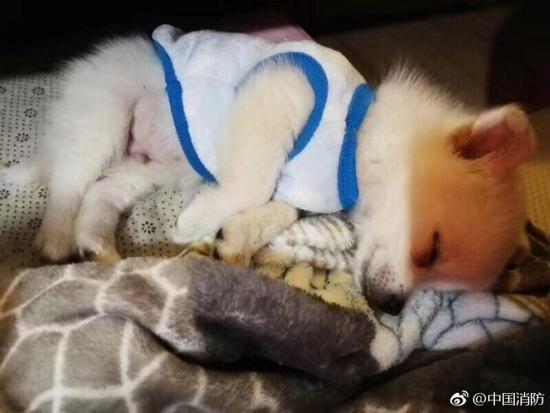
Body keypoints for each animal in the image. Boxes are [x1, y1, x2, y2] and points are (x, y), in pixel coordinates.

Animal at [2, 26, 536, 314]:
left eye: (441, 288)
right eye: (432, 248)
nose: (390, 308)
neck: (354, 144)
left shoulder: (300, 192)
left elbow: (277, 210)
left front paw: (232, 237)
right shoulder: (286, 86)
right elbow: (256, 182)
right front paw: (197, 220)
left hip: (149, 168)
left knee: (101, 192)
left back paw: (98, 245)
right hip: (105, 114)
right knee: (69, 180)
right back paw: (55, 237)